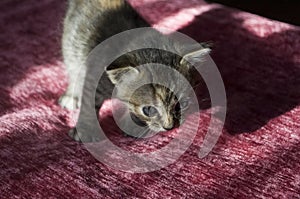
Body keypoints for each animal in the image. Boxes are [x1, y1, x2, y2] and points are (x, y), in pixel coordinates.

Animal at [58, 0, 209, 141]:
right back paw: (72, 95)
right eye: (148, 110)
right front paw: (86, 130)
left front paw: (133, 125)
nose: (169, 127)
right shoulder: (95, 78)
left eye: (183, 104)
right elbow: (89, 102)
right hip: (71, 44)